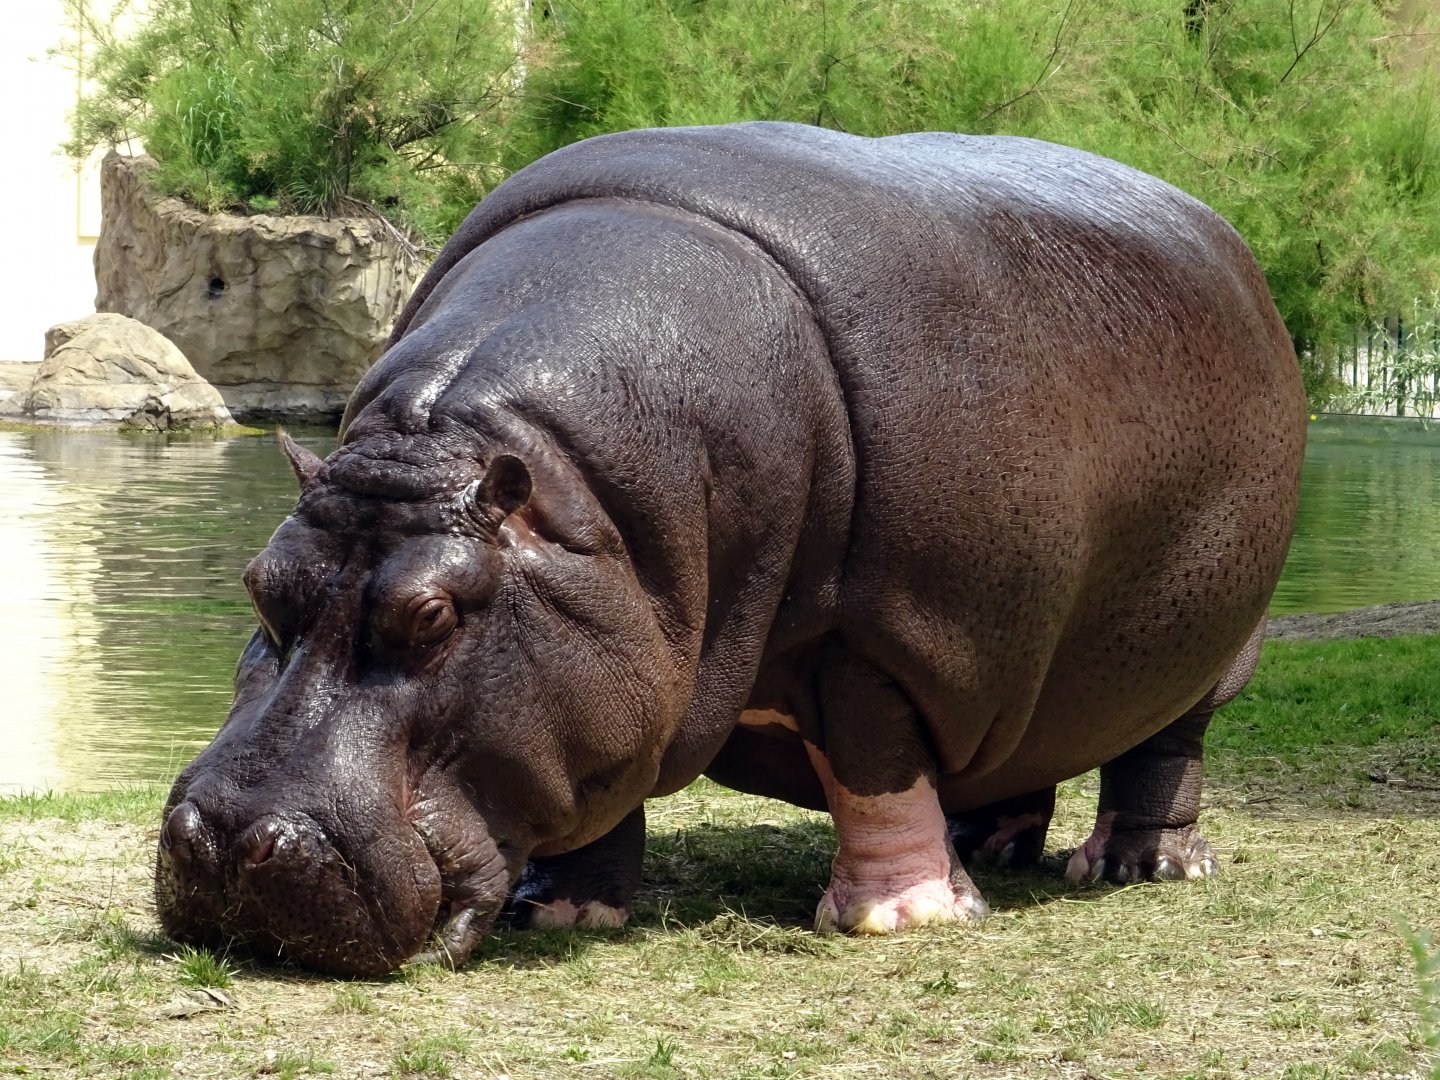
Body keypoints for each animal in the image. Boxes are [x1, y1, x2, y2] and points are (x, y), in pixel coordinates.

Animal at [155, 122, 1306, 975]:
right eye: (261, 585)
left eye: (434, 615)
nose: (230, 840)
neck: (584, 501)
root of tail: (1225, 239)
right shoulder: (617, 643)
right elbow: (595, 768)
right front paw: (562, 912)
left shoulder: (879, 638)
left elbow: (875, 764)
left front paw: (901, 921)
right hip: (1019, 658)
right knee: (1014, 749)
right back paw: (988, 844)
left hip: (1205, 649)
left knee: (1163, 751)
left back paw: (1134, 870)